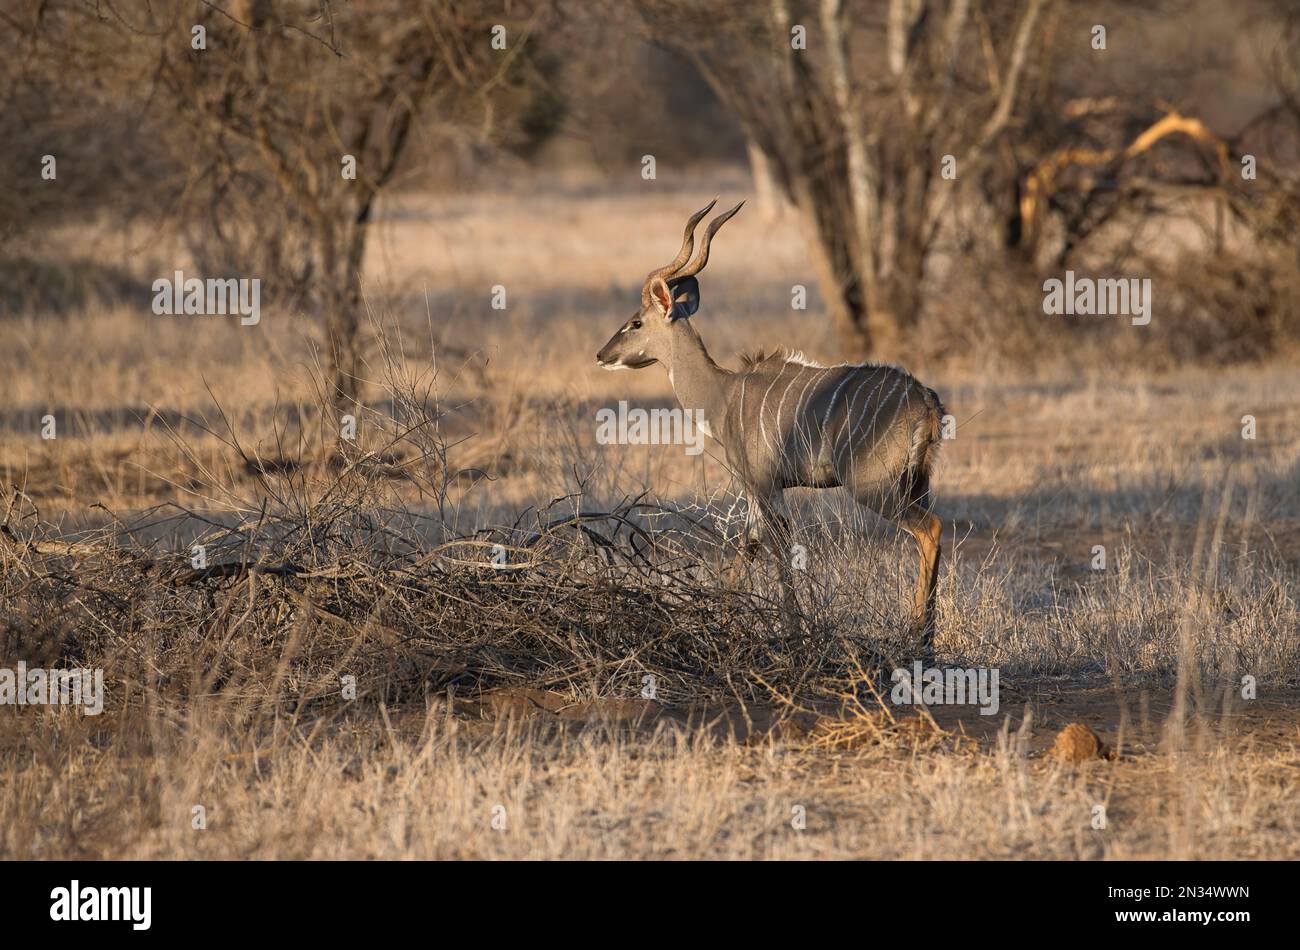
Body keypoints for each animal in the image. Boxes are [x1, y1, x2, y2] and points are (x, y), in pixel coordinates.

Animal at [595, 200, 946, 647]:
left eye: (636, 322)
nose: (601, 355)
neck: (724, 394)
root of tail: (925, 400)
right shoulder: (757, 491)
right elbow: (749, 545)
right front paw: (723, 620)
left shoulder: (762, 483)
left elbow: (779, 549)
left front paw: (792, 630)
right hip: (917, 484)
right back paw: (926, 638)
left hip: (875, 487)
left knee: (929, 531)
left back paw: (918, 635)